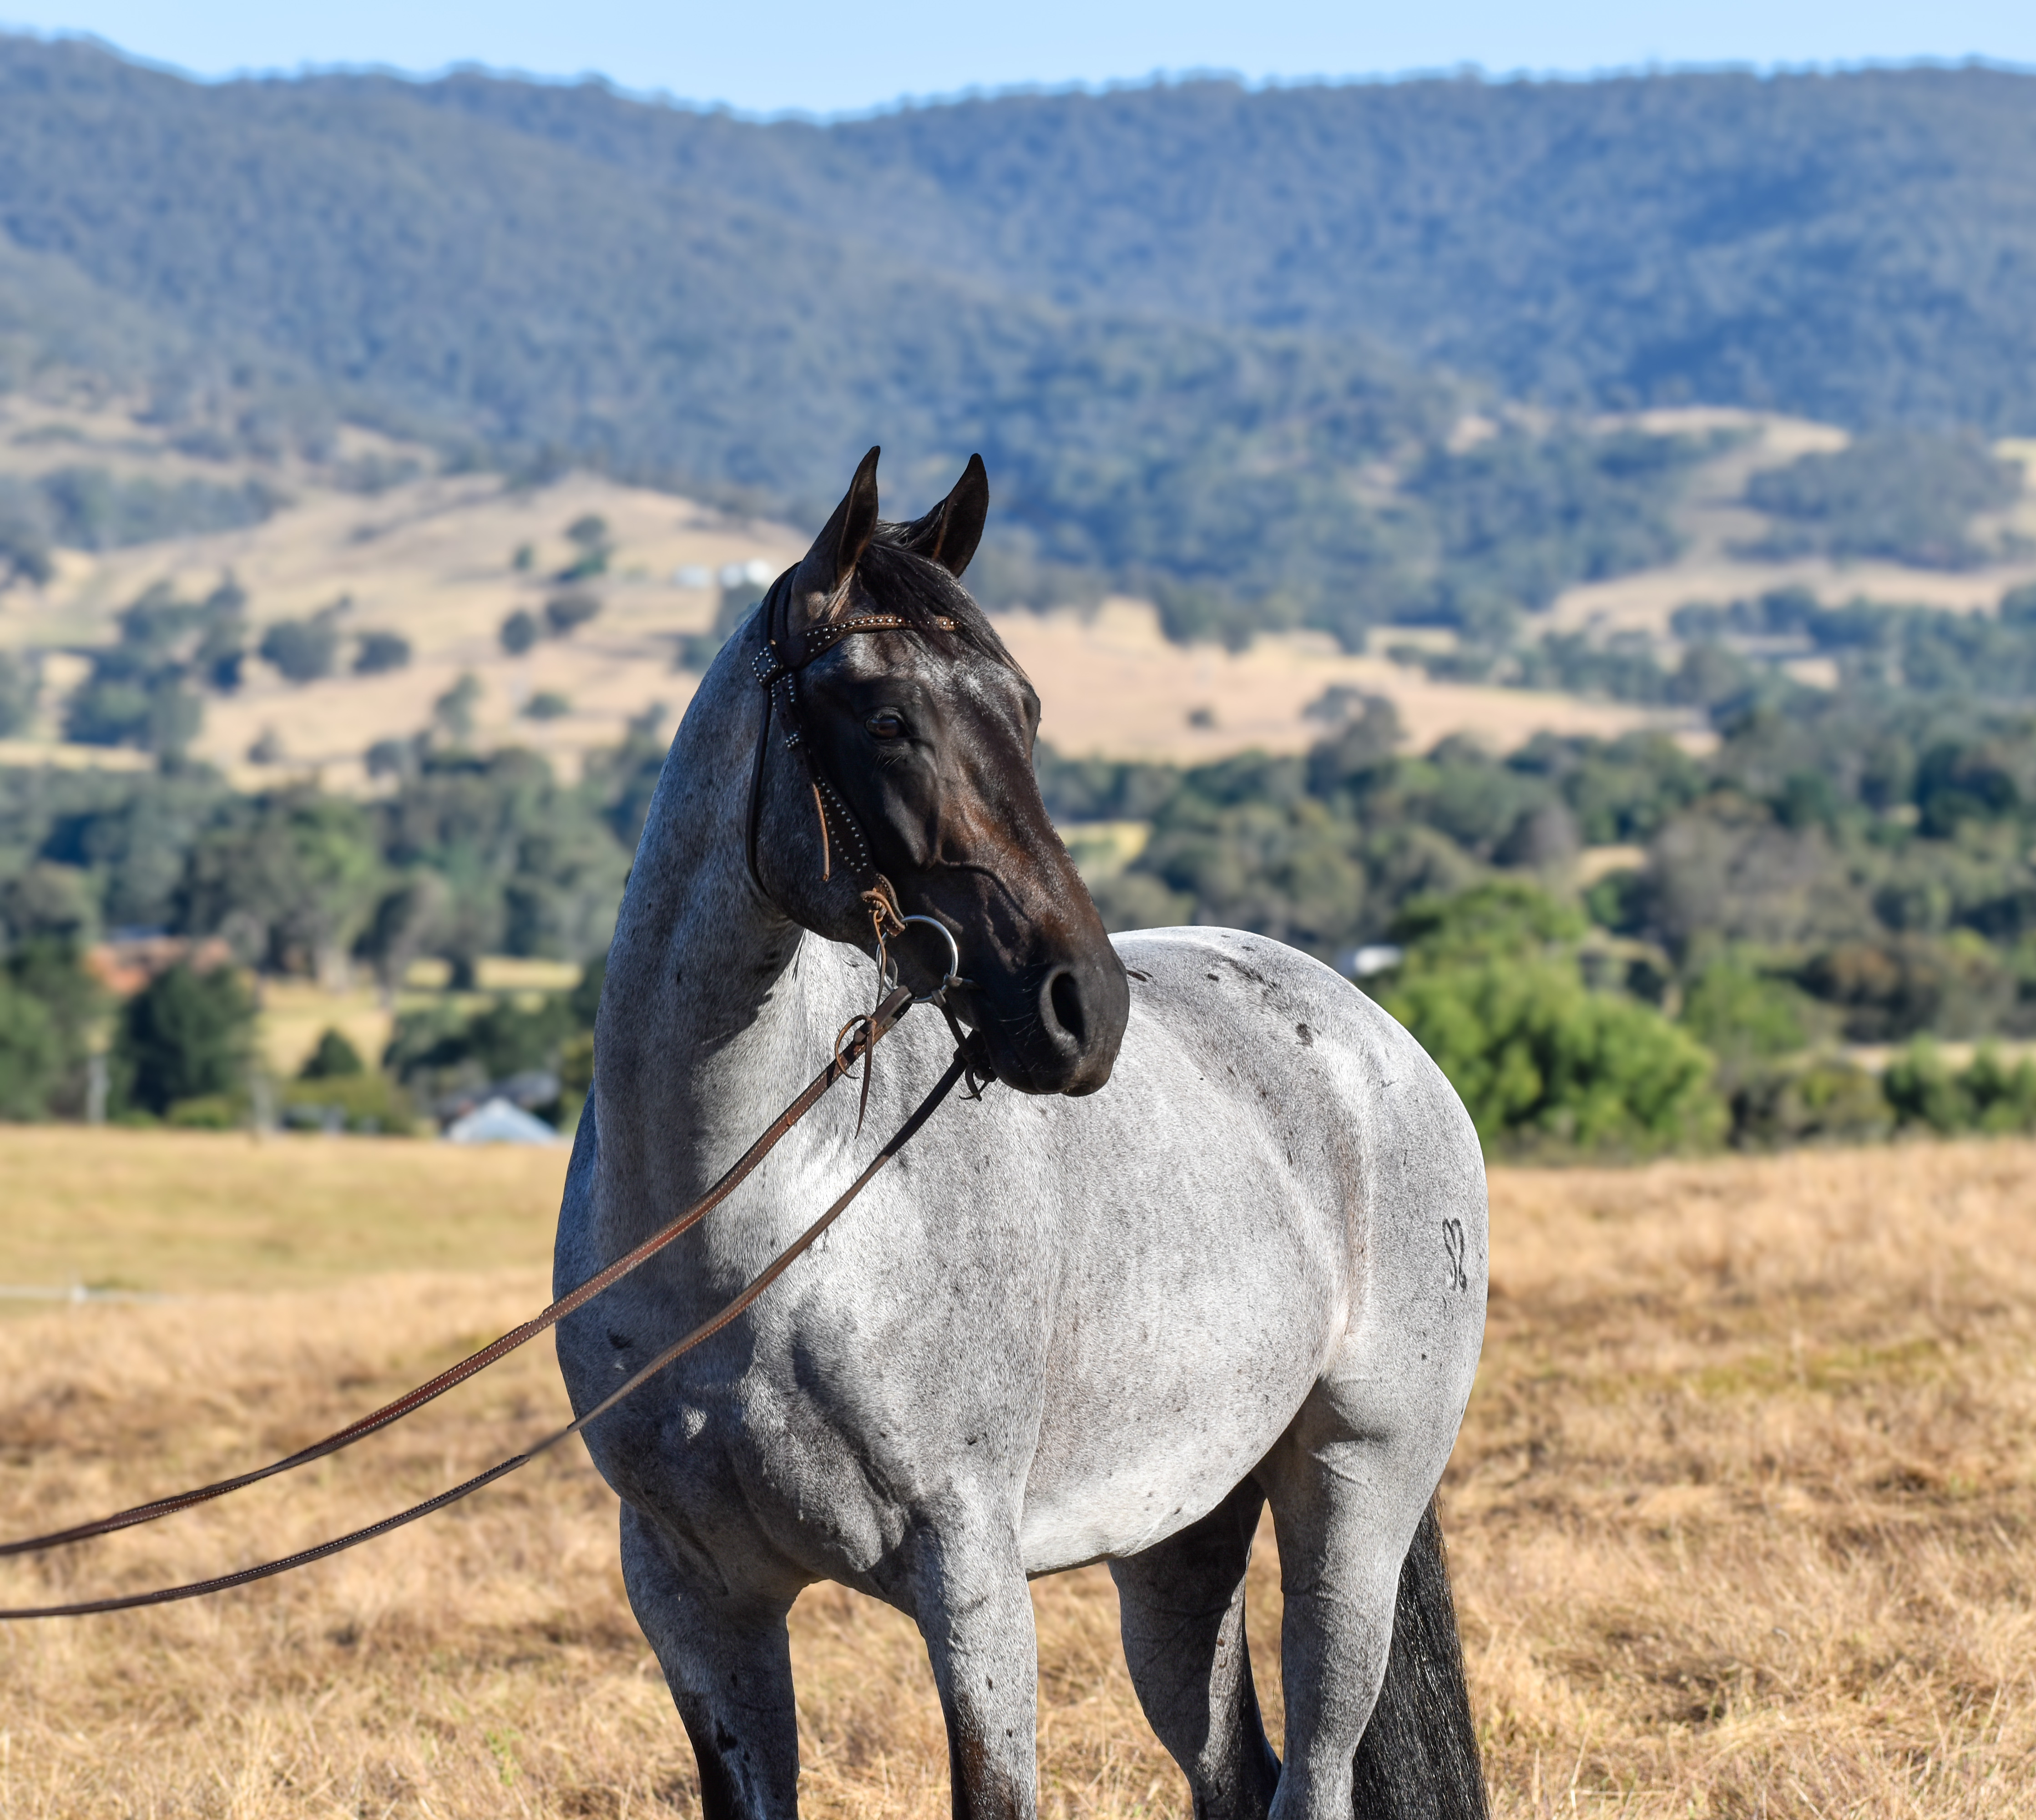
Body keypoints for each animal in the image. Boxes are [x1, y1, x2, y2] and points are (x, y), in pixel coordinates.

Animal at [553, 448, 1490, 1820]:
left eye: (1027, 711)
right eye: (887, 720)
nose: (1081, 1008)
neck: (750, 1238)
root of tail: (1383, 1048)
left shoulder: (972, 1579)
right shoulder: (695, 1600)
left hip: (1354, 1497)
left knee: (1312, 1769)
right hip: (1177, 1535)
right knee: (1234, 1769)